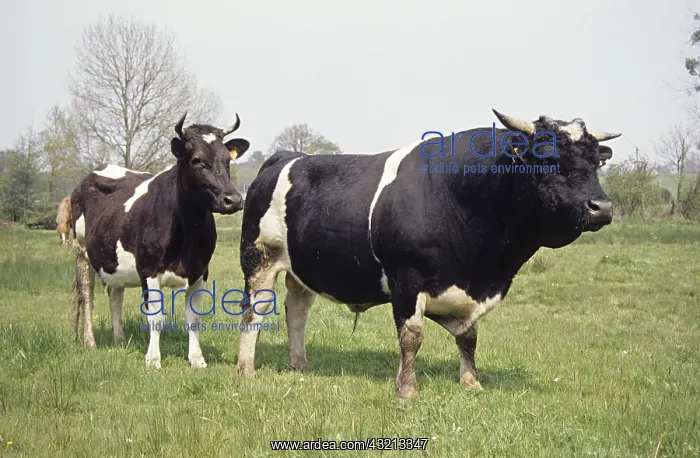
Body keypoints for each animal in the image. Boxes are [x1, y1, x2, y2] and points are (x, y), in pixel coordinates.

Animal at [70, 112, 250, 368]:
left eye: (227, 160)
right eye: (196, 160)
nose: (233, 200)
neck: (187, 234)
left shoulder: (200, 272)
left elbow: (193, 318)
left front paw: (197, 359)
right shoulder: (148, 270)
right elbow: (156, 317)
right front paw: (153, 359)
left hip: (113, 261)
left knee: (115, 295)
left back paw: (119, 340)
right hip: (81, 251)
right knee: (87, 294)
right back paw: (90, 342)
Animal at [234, 109, 620, 398]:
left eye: (595, 162)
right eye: (546, 157)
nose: (601, 207)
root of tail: (286, 157)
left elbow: (469, 338)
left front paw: (471, 383)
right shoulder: (407, 278)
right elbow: (412, 336)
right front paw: (407, 389)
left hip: (301, 268)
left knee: (297, 311)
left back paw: (301, 365)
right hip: (259, 258)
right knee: (254, 312)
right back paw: (246, 369)